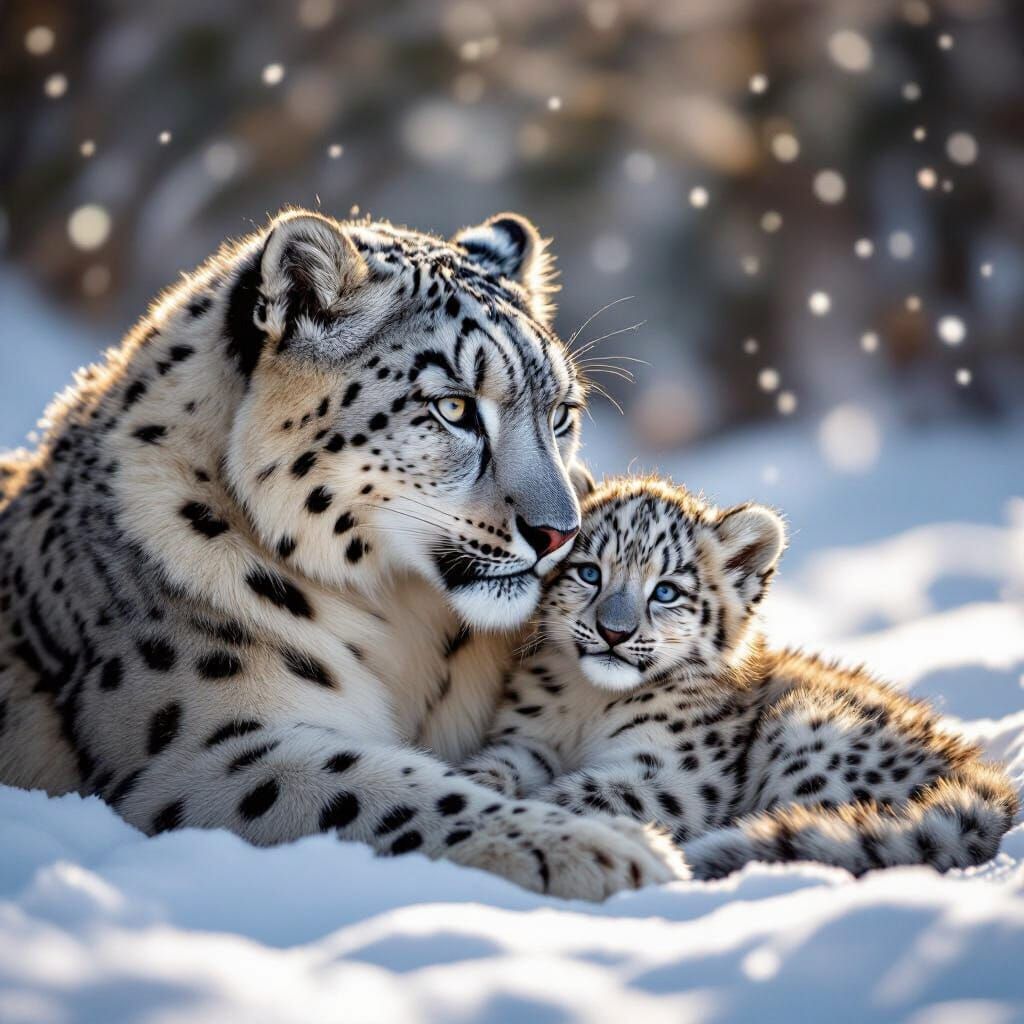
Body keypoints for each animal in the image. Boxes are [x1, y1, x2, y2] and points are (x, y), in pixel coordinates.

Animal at [0, 208, 686, 901]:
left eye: (562, 413)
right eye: (454, 406)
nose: (559, 533)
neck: (406, 627)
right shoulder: (201, 750)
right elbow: (379, 788)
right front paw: (605, 850)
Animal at [459, 475, 1019, 878]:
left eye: (666, 591)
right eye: (589, 572)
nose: (613, 632)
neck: (587, 704)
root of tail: (984, 777)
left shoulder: (673, 778)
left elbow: (582, 794)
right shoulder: (528, 740)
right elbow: (502, 768)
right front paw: (476, 785)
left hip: (805, 733)